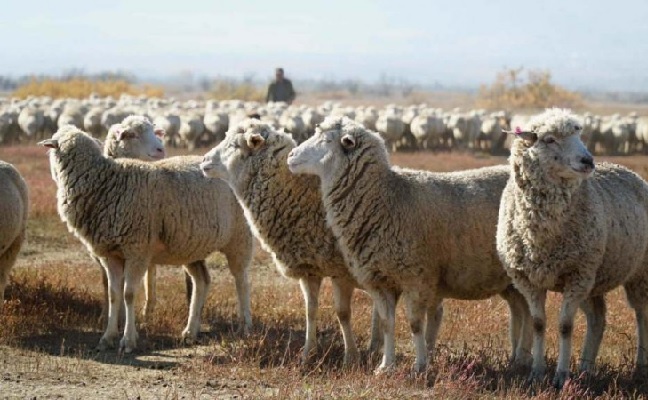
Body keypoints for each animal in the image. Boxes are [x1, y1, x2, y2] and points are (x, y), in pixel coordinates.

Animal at [39, 126, 254, 354]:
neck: (104, 183)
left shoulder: (137, 250)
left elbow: (129, 294)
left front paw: (128, 340)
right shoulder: (110, 254)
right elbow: (113, 294)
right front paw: (107, 337)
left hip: (239, 237)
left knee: (242, 281)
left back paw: (245, 326)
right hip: (190, 245)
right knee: (202, 281)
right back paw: (190, 331)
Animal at [288, 115, 532, 376]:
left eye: (326, 140)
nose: (290, 156)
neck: (385, 198)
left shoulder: (417, 277)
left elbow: (416, 325)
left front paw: (420, 366)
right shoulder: (380, 279)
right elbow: (387, 324)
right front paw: (385, 366)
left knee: (528, 312)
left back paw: (524, 359)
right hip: (511, 281)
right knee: (520, 310)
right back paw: (517, 360)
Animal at [494, 108, 648, 390]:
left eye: (579, 135)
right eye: (549, 139)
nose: (588, 161)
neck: (544, 235)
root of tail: (627, 170)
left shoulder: (577, 275)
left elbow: (565, 326)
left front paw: (561, 376)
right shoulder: (530, 279)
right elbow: (538, 324)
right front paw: (536, 373)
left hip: (637, 272)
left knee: (642, 315)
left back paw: (640, 367)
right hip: (594, 277)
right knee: (598, 318)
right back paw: (587, 368)